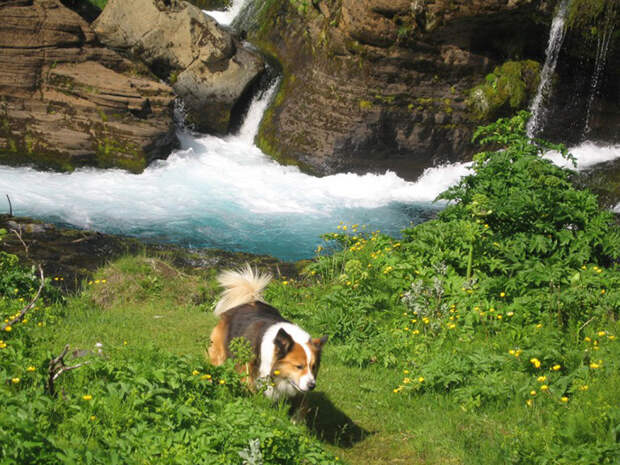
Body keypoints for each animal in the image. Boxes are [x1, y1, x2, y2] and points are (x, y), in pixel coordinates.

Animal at [207, 264, 326, 398]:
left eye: (314, 367)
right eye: (299, 366)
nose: (312, 385)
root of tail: (248, 301)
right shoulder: (247, 369)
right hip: (219, 352)